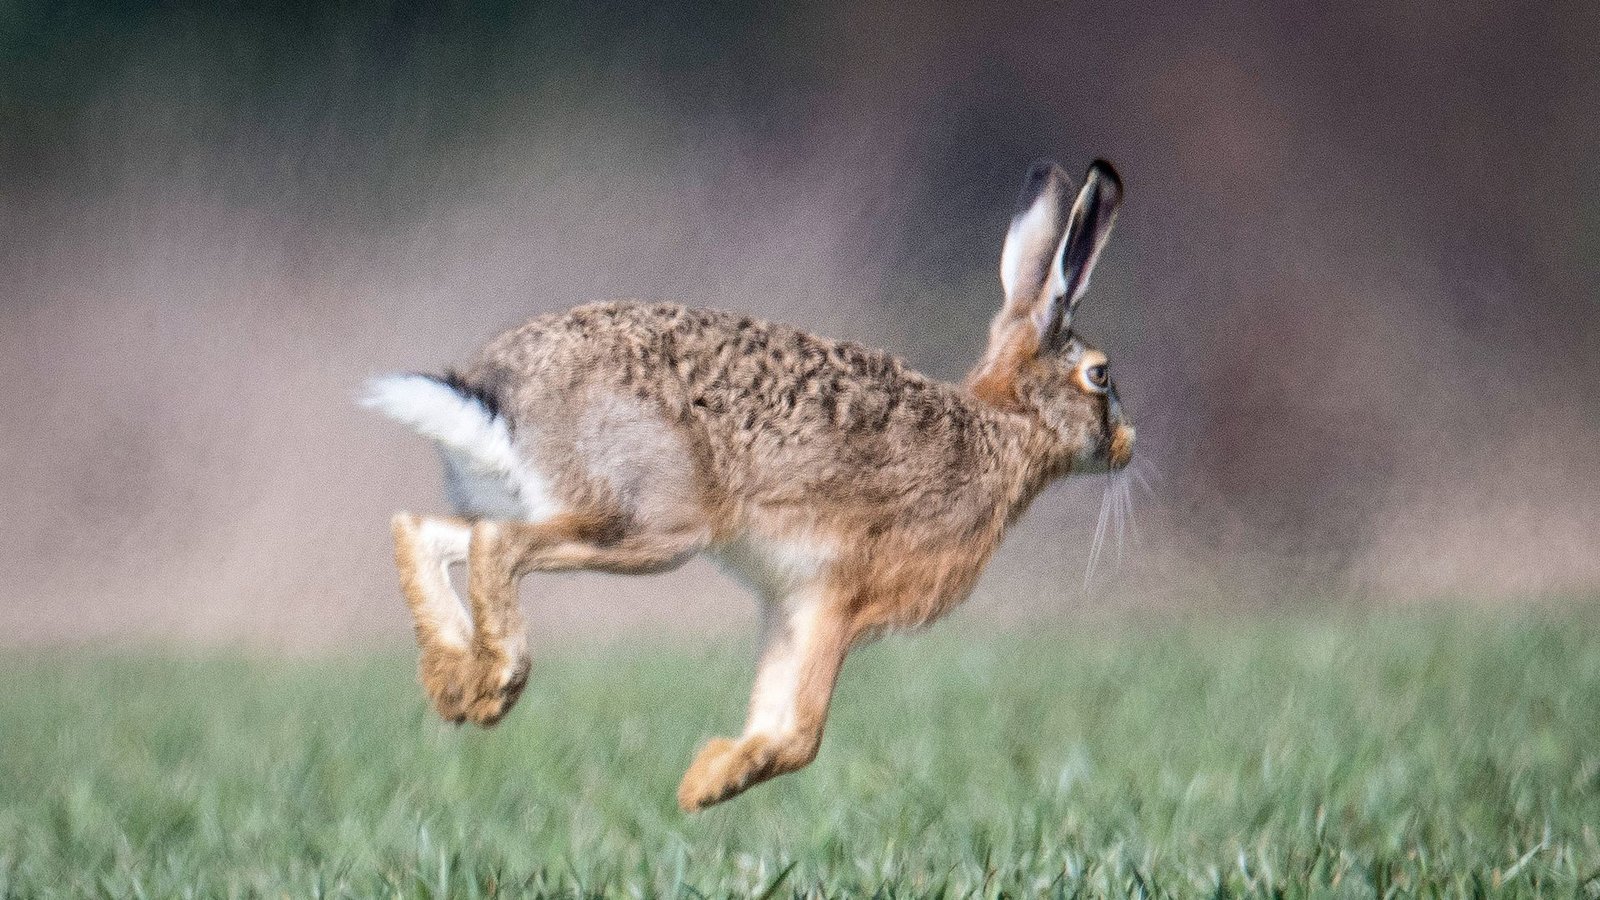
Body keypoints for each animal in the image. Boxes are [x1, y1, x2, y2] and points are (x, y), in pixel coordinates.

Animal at [363, 158, 1132, 811]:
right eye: (1099, 375)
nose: (1128, 445)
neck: (1008, 426)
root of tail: (503, 397)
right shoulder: (841, 592)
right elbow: (802, 735)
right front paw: (706, 786)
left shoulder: (792, 600)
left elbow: (774, 706)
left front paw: (710, 772)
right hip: (652, 526)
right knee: (498, 545)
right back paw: (492, 687)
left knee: (424, 530)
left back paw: (452, 683)